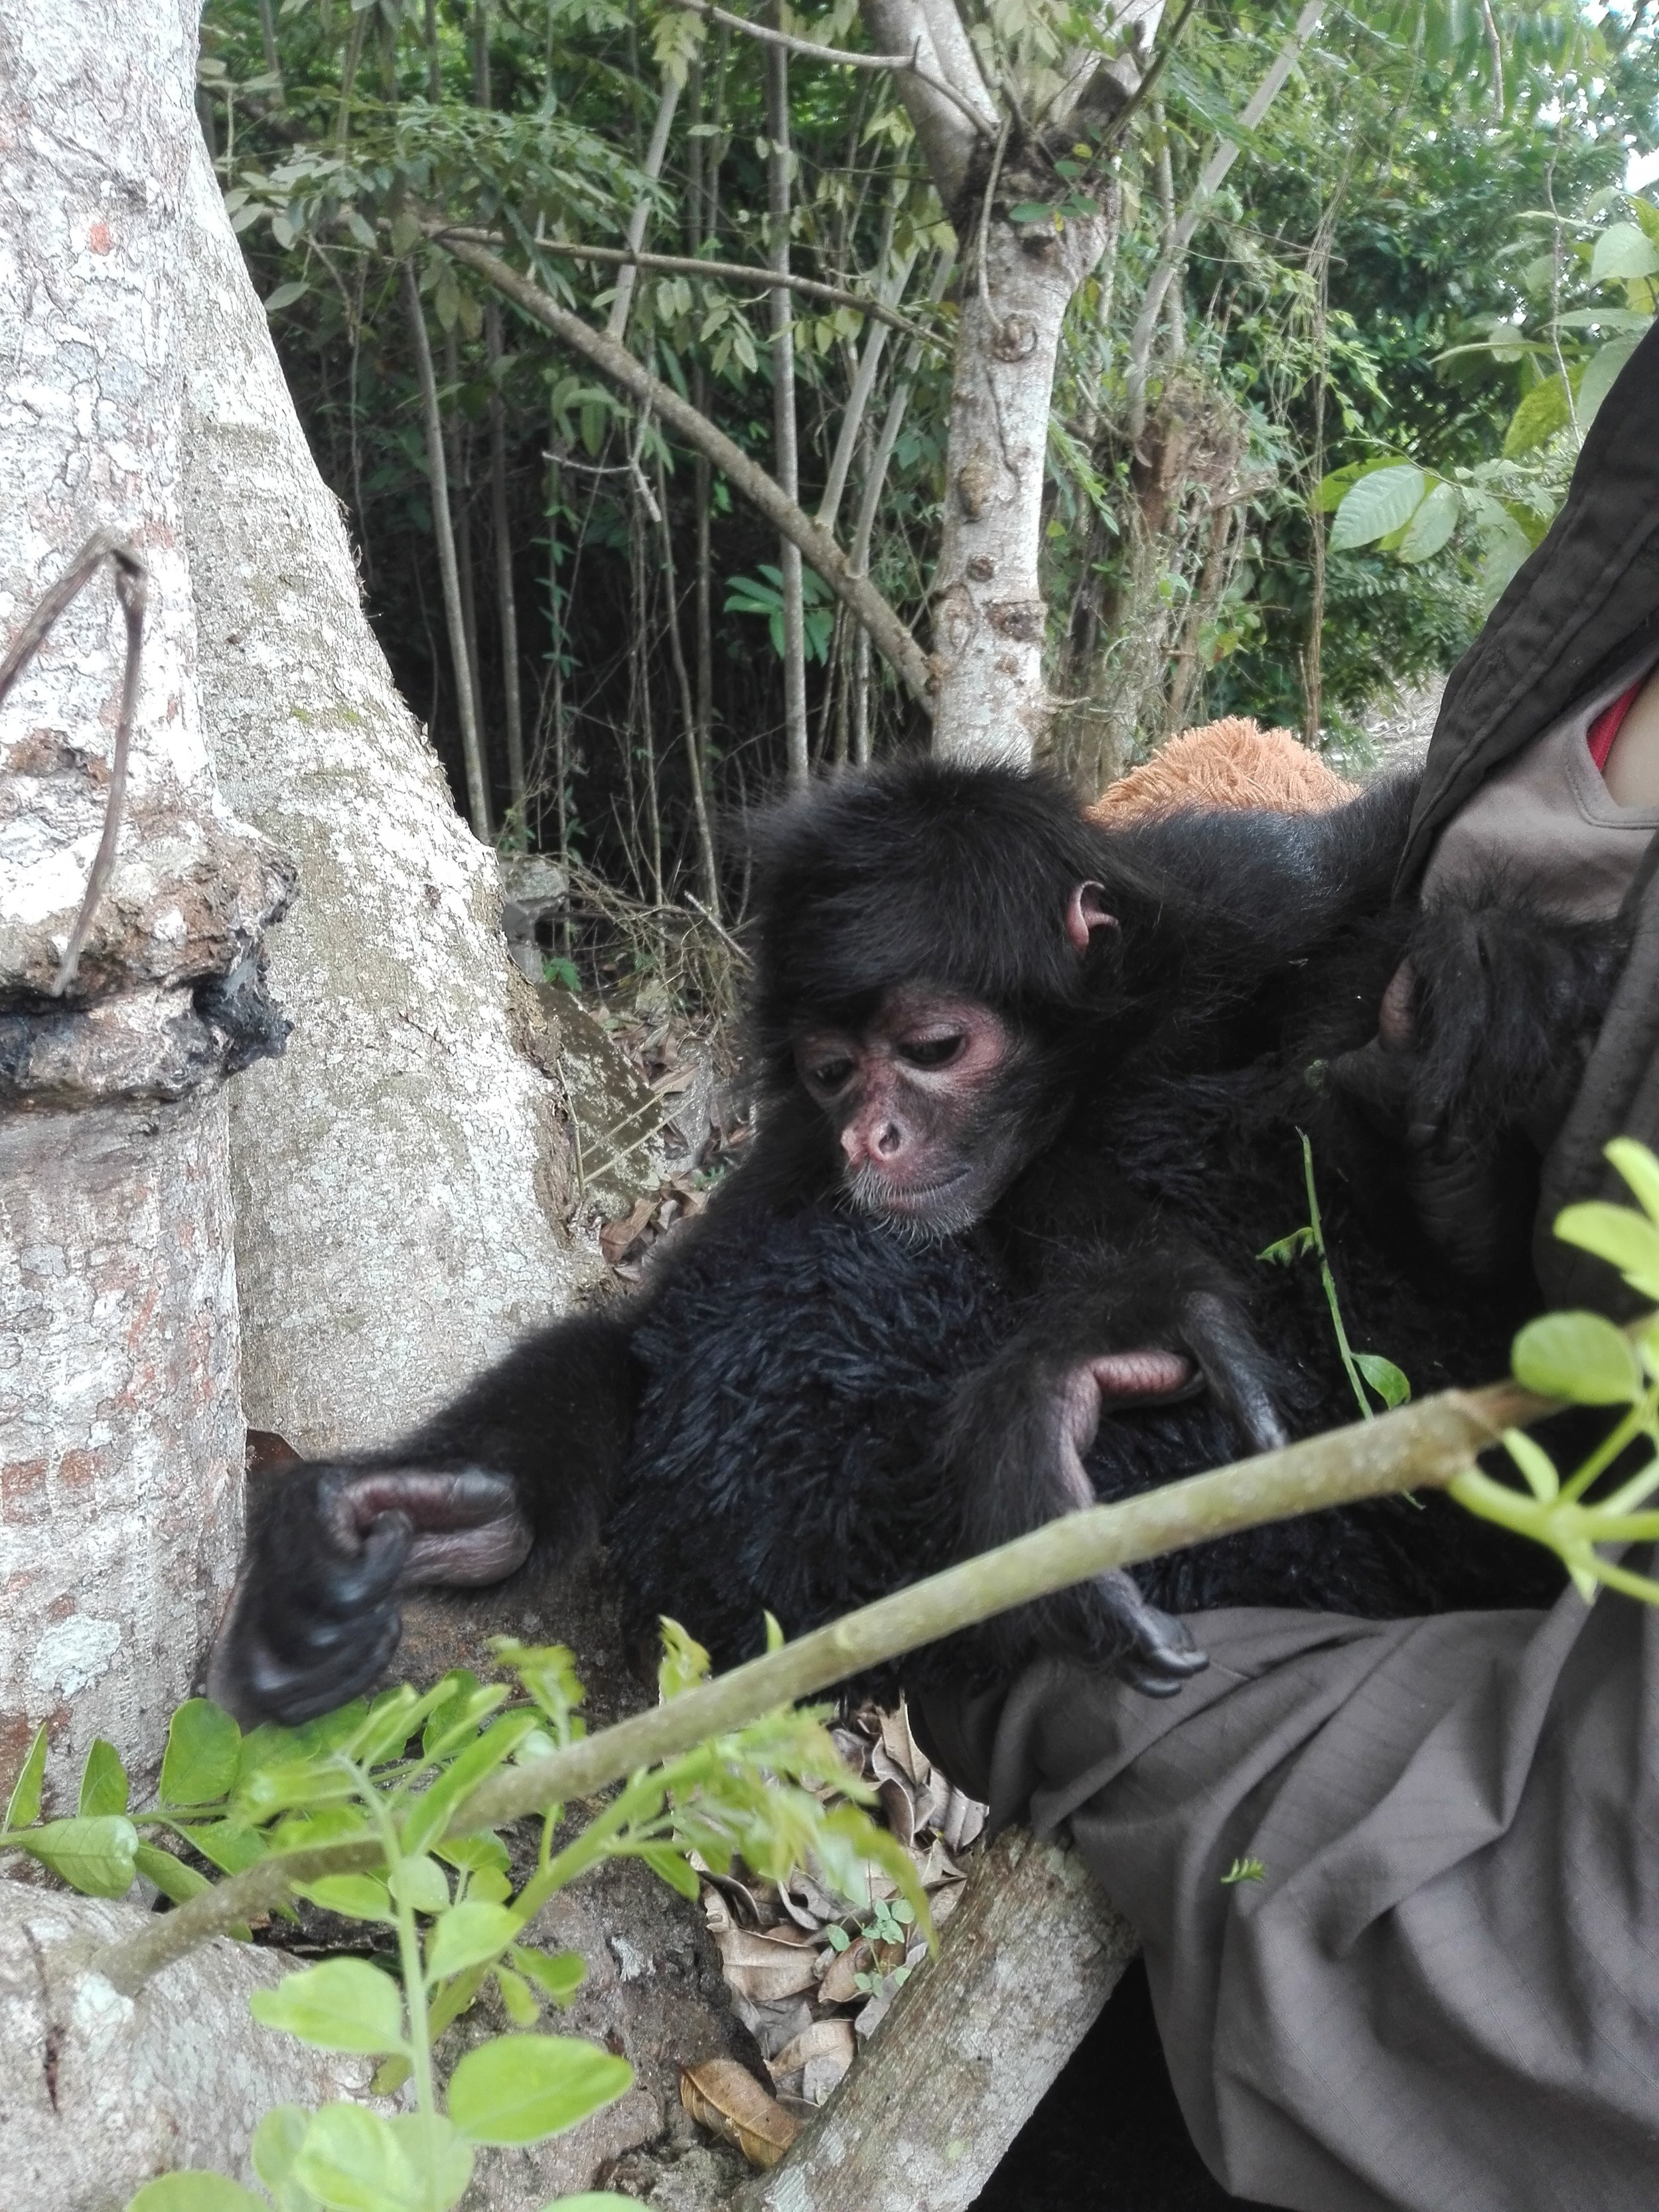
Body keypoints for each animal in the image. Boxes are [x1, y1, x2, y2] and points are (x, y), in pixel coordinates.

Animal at [204, 761, 1628, 1725]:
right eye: (835, 1069)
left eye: (935, 1047)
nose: (874, 1135)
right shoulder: (794, 1155)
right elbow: (663, 1359)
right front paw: (427, 1509)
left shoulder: (1242, 894)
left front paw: (1083, 1368)